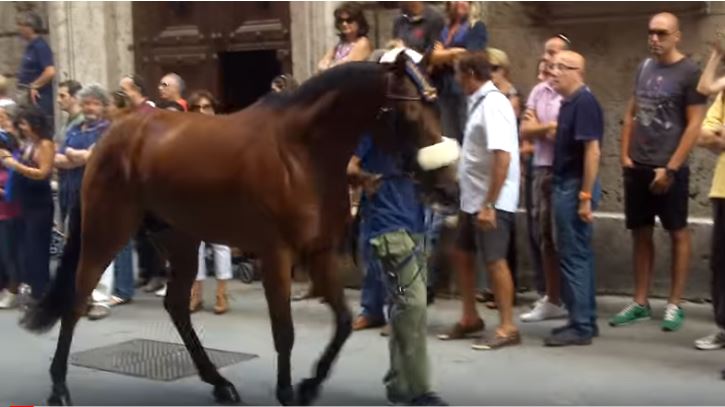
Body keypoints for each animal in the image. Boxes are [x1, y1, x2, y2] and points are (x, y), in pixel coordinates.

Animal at [20, 50, 460, 406]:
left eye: (438, 110)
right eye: (408, 115)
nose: (448, 189)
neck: (301, 152)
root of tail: (113, 134)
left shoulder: (318, 252)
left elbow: (344, 321)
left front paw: (309, 385)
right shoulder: (277, 254)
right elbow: (284, 330)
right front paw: (287, 390)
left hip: (178, 238)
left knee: (176, 305)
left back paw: (218, 383)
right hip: (106, 230)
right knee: (76, 300)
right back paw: (58, 387)